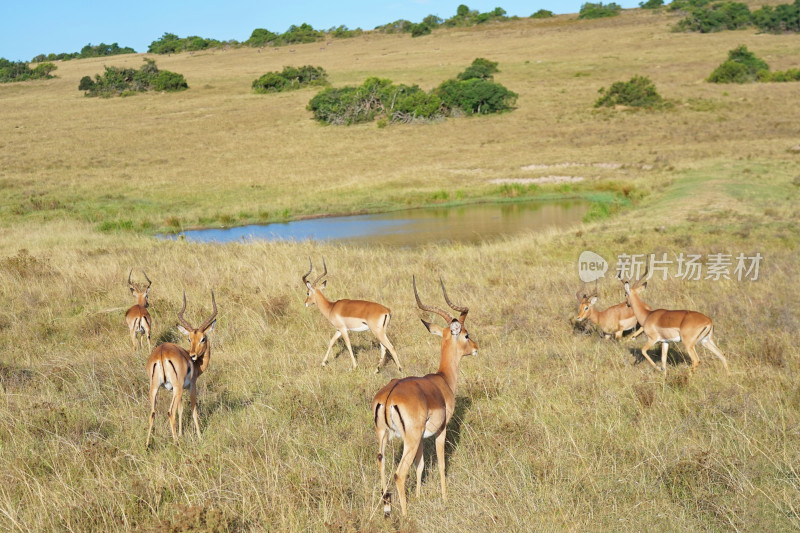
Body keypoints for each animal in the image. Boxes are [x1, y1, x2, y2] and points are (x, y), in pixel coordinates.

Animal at [145, 290, 217, 444]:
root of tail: (161, 354)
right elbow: (193, 410)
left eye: (202, 338)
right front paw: (199, 436)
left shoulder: (173, 390)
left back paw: (147, 444)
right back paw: (176, 443)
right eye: (189, 339)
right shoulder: (191, 387)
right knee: (170, 412)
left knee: (152, 413)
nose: (193, 355)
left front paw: (181, 433)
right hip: (176, 388)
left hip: (154, 388)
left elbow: (181, 410)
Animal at [372, 278, 478, 516]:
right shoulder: (440, 430)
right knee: (399, 474)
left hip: (384, 435)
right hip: (408, 439)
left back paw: (387, 507)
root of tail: (389, 397)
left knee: (381, 462)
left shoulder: (421, 437)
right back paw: (404, 514)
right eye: (466, 334)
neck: (443, 380)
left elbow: (420, 465)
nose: (476, 348)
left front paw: (419, 496)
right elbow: (441, 463)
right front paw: (445, 498)